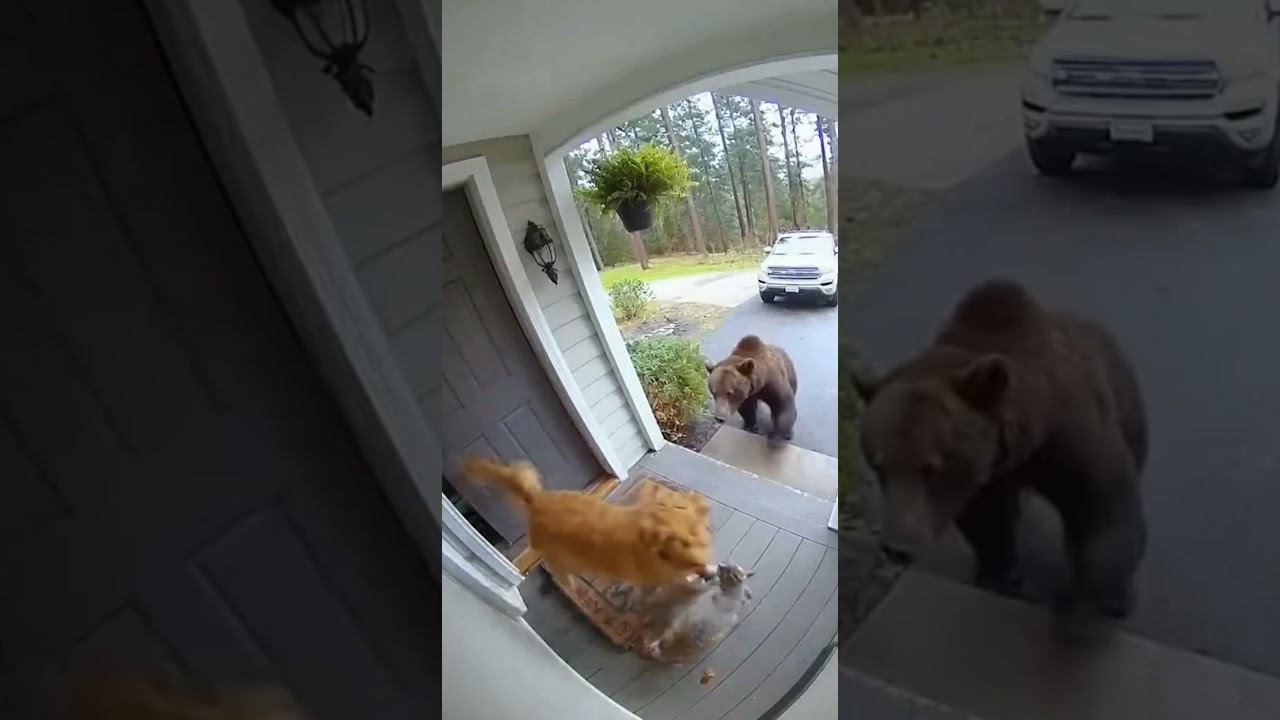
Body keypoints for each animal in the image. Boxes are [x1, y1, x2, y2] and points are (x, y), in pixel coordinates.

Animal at [852, 278, 1148, 621]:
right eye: (880, 466)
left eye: (930, 467)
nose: (897, 547)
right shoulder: (985, 474)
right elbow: (986, 520)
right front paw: (997, 575)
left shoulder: (1071, 437)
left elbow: (1102, 502)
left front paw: (1101, 598)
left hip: (1125, 400)